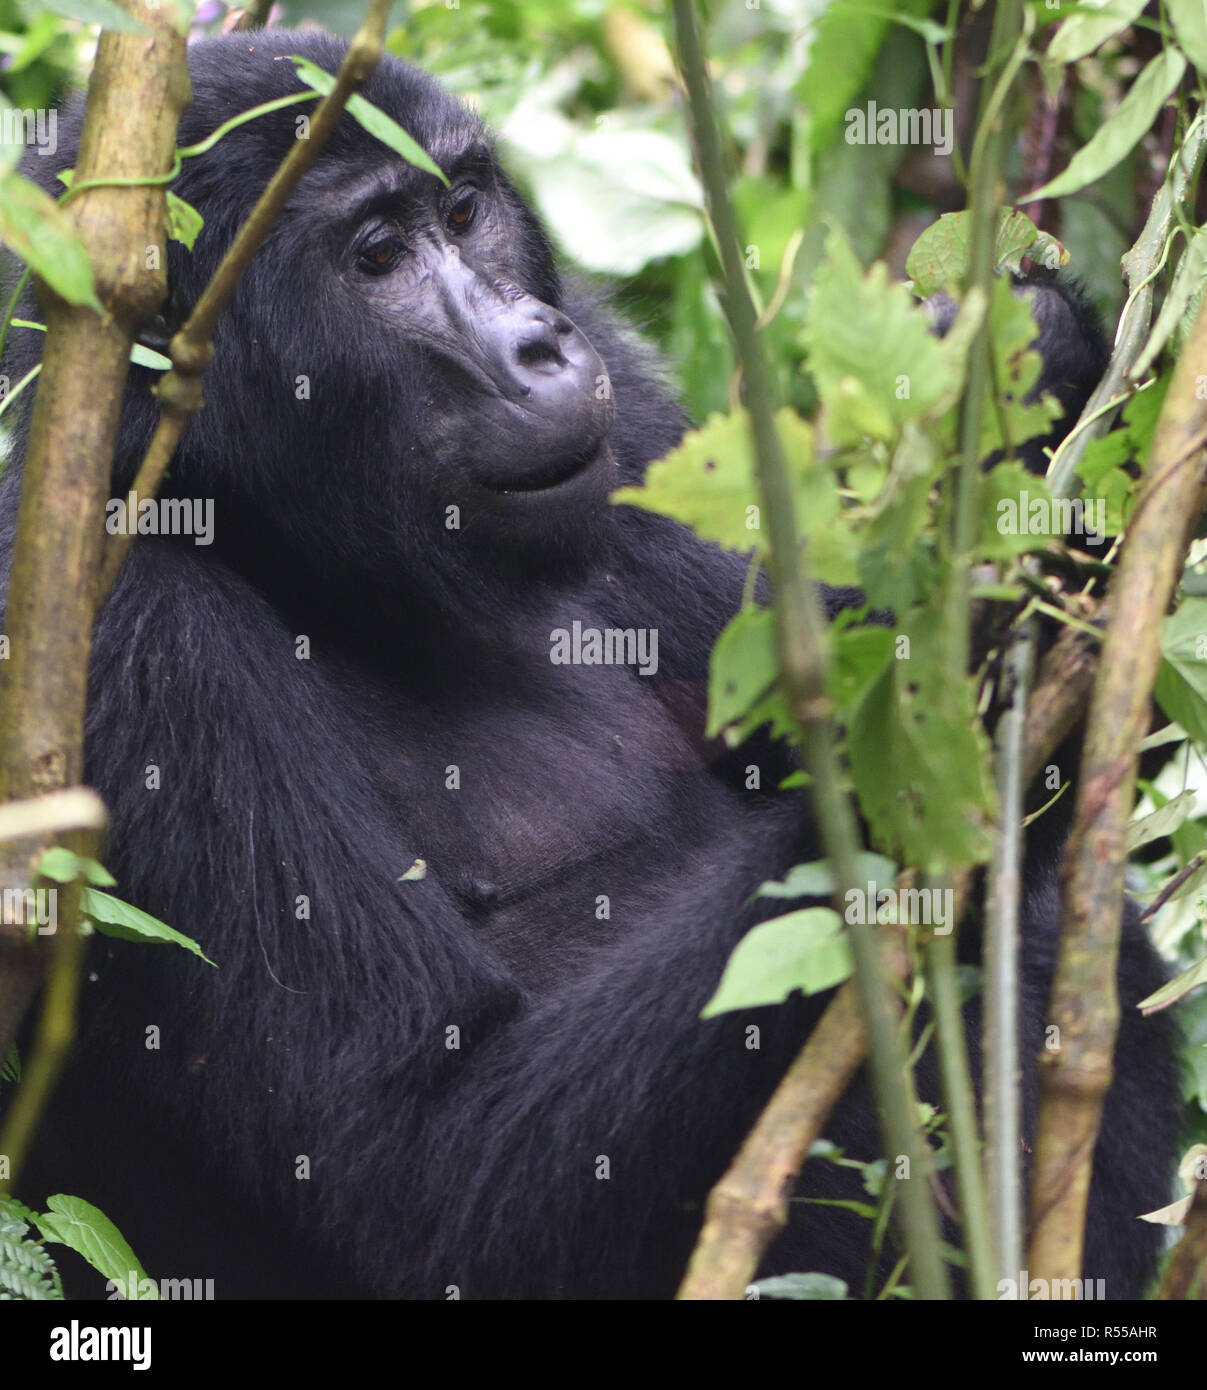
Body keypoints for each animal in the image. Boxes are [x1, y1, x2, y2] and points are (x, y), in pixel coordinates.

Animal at [0, 27, 1173, 1295]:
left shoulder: (632, 424)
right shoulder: (116, 635)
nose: (534, 343)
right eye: (376, 256)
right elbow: (417, 1171)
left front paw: (1026, 372)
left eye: (466, 212)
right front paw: (941, 691)